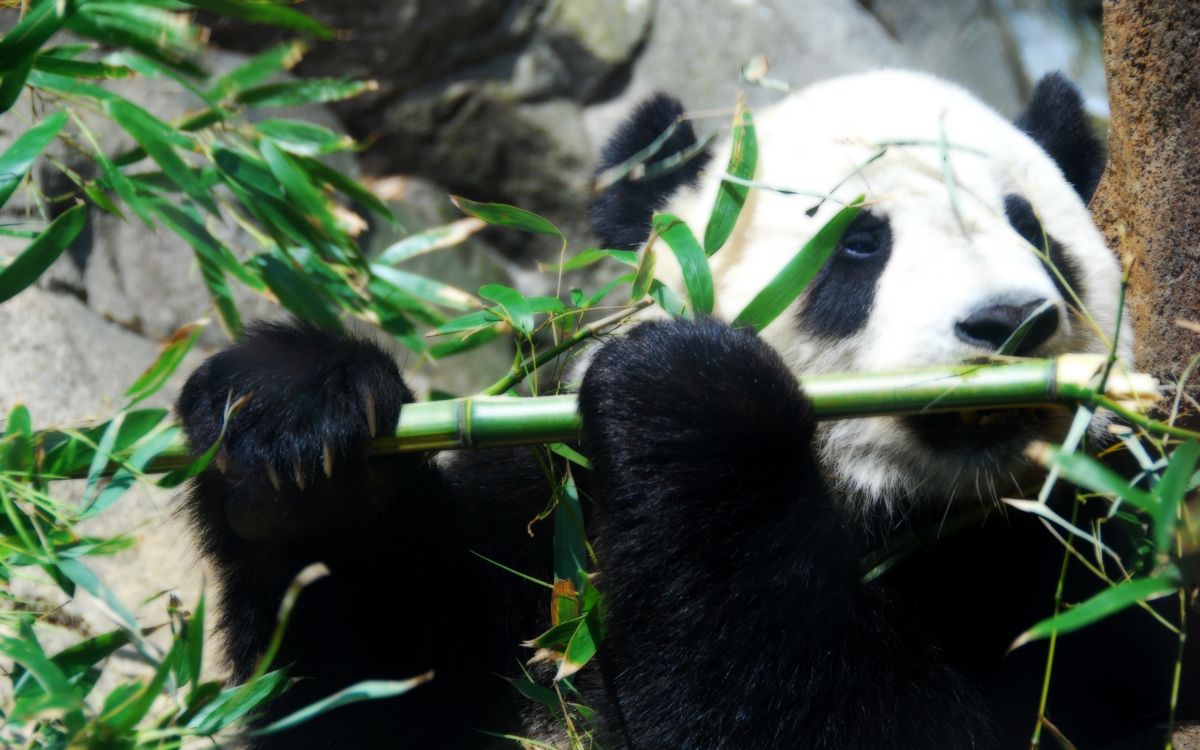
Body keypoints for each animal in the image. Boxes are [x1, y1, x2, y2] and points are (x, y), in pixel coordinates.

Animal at [177, 70, 1195, 749]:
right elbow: (387, 682)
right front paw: (294, 438)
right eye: (859, 244)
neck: (898, 514)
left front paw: (695, 402)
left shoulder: (1096, 565)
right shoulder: (548, 527)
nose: (1009, 321)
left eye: (1035, 232)